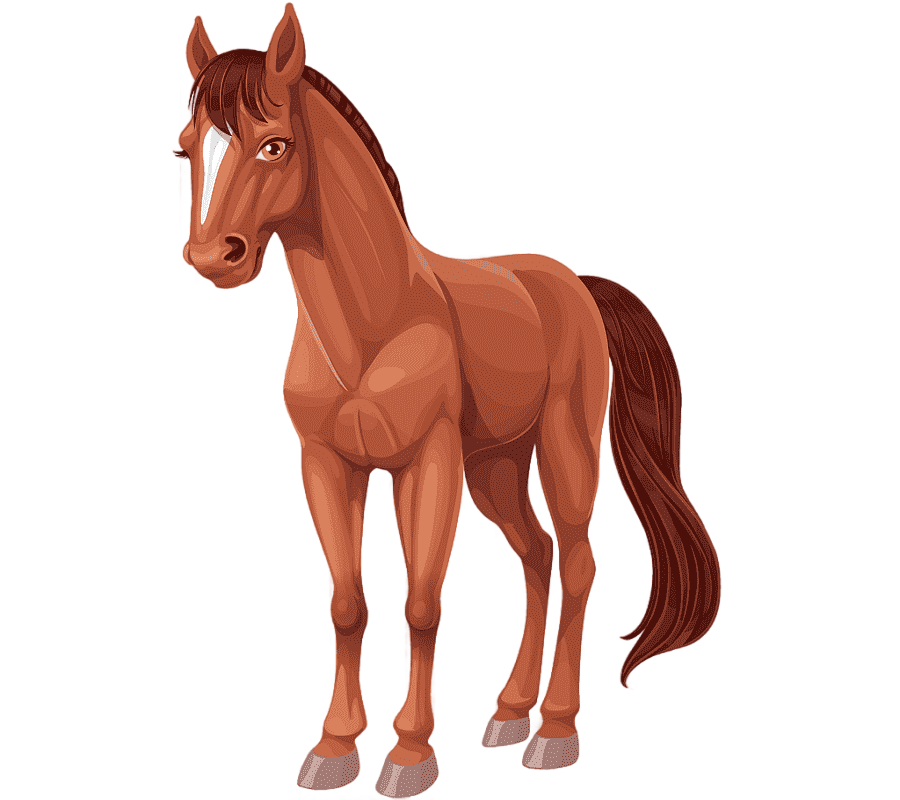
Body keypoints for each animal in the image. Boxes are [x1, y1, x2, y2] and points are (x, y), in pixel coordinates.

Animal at [176, 8, 719, 795]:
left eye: (275, 144)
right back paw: (510, 712)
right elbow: (347, 605)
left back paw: (554, 732)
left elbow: (421, 604)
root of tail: (575, 283)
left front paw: (409, 754)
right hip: (495, 469)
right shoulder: (326, 466)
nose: (214, 257)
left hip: (562, 454)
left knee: (577, 563)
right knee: (535, 562)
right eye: (187, 150)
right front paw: (334, 747)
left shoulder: (428, 463)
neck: (375, 325)